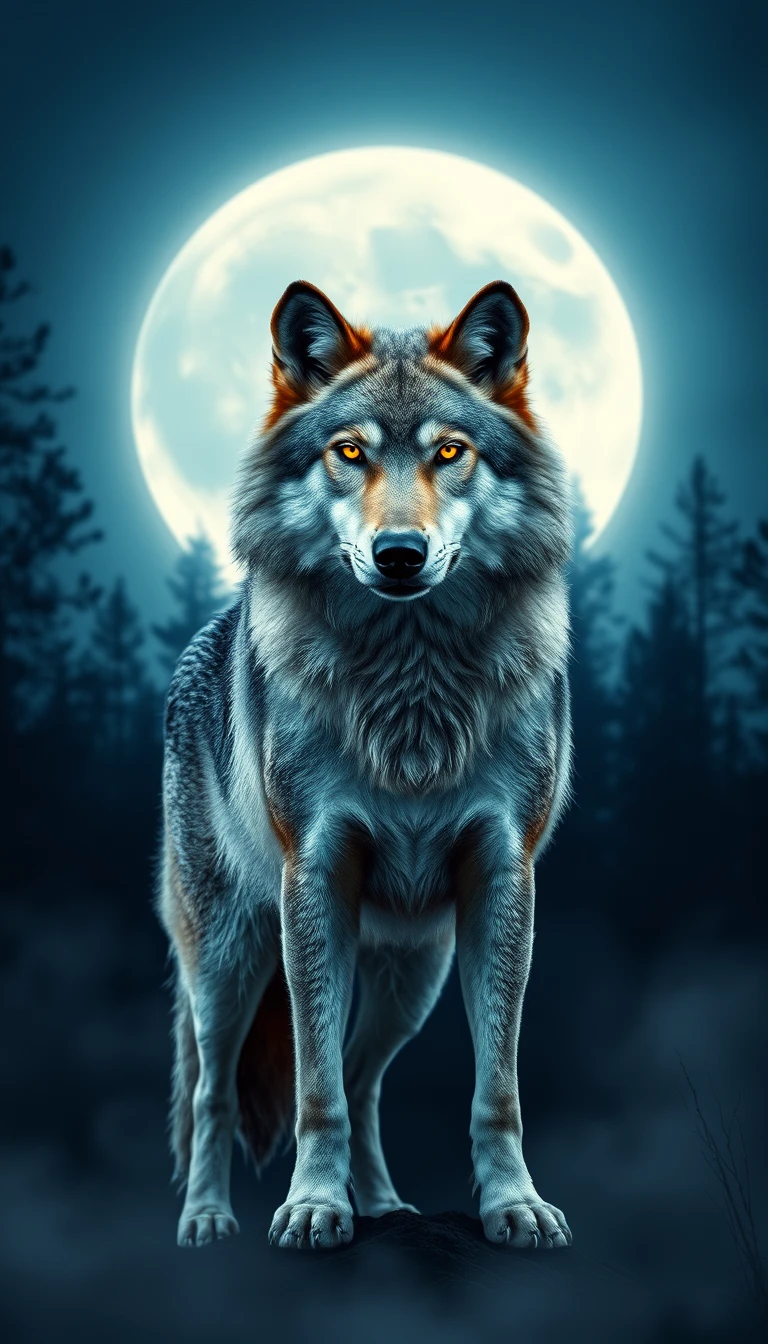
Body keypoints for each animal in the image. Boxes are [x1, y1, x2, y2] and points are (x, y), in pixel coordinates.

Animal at [158, 277, 573, 1252]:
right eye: (349, 452)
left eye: (450, 452)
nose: (399, 554)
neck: (412, 691)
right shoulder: (314, 875)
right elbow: (310, 1085)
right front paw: (313, 1206)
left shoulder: (504, 877)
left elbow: (496, 1085)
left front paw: (513, 1206)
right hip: (230, 961)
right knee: (213, 1090)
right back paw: (206, 1219)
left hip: (409, 975)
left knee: (363, 1073)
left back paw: (381, 1204)